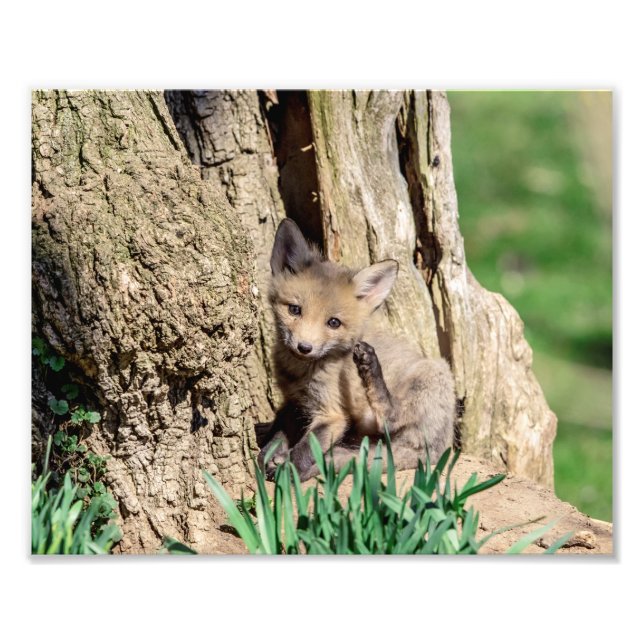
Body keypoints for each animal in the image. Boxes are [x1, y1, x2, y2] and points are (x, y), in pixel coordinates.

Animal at [259, 218, 456, 481]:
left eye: (333, 322)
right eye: (294, 310)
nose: (304, 347)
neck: (301, 373)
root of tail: (437, 449)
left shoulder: (332, 414)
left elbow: (306, 447)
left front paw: (288, 470)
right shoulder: (295, 401)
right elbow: (279, 430)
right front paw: (269, 454)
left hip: (434, 374)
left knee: (391, 417)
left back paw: (370, 367)